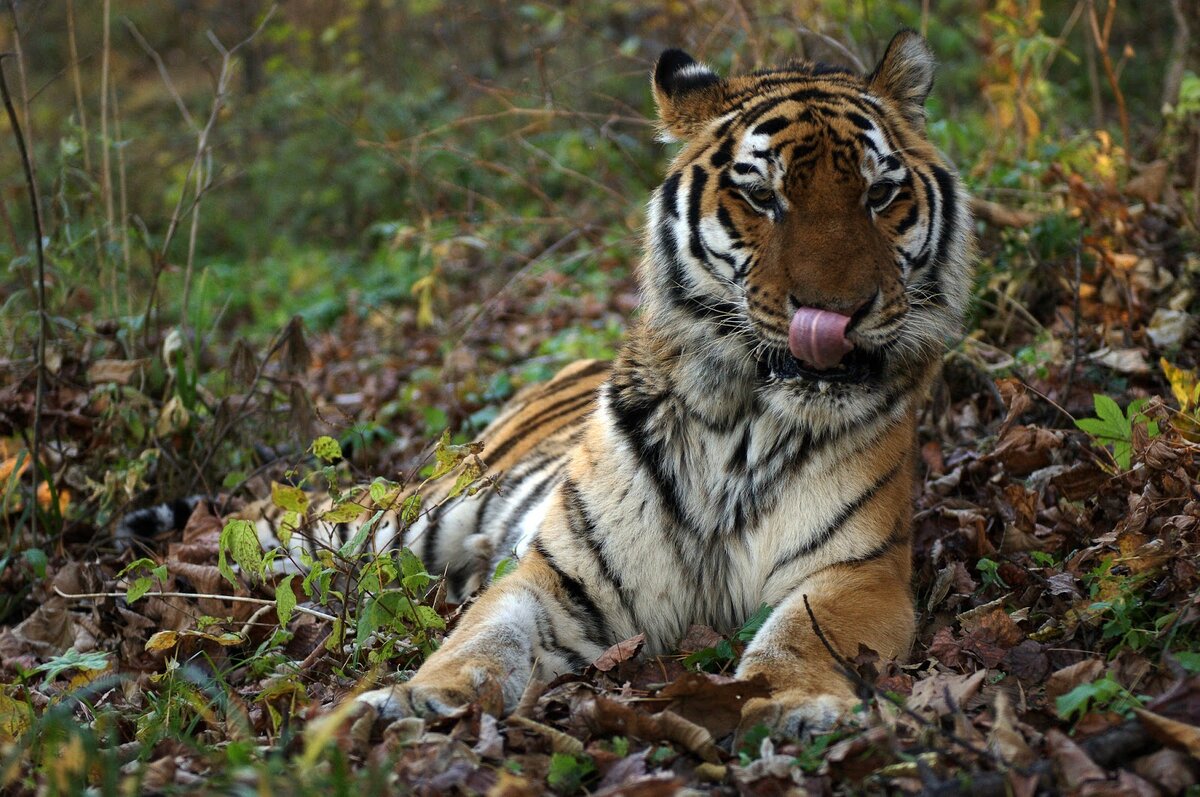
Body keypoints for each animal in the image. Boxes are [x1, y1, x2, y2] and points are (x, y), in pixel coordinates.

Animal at [114, 31, 974, 739]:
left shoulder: (856, 570)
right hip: (387, 516)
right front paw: (416, 698)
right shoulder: (563, 573)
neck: (744, 418)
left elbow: (800, 636)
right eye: (763, 194)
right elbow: (485, 635)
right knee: (257, 521)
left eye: (879, 193)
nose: (837, 311)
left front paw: (795, 704)